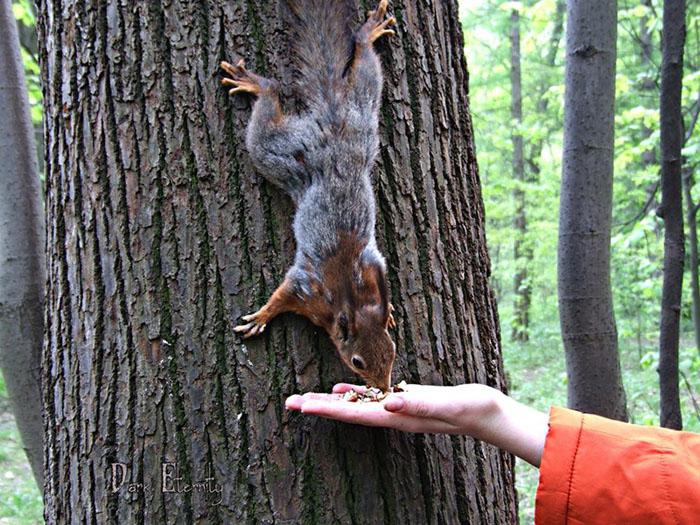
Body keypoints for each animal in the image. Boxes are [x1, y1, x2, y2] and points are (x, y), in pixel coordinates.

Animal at [220, 0, 397, 391]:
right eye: (357, 361)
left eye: (391, 352)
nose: (383, 389)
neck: (345, 301)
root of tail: (331, 125)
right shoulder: (307, 289)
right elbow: (282, 294)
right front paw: (262, 316)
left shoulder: (369, 270)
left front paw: (389, 310)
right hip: (280, 153)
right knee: (267, 114)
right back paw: (258, 84)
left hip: (362, 112)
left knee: (365, 69)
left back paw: (367, 35)